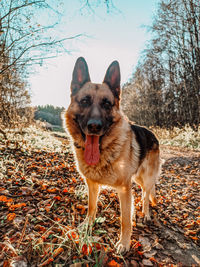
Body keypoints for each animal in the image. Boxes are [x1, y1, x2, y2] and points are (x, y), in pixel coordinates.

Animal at [65, 57, 160, 254]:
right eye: (84, 101)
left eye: (107, 104)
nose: (94, 126)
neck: (105, 151)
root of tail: (152, 133)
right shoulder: (92, 185)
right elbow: (91, 207)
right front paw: (87, 225)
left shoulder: (124, 189)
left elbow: (125, 220)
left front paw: (124, 243)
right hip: (137, 179)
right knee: (142, 193)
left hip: (146, 178)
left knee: (146, 195)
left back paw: (145, 213)